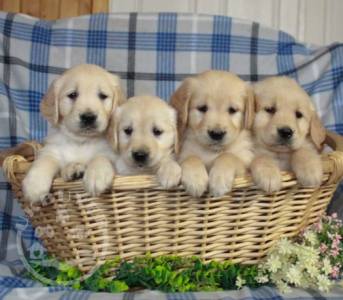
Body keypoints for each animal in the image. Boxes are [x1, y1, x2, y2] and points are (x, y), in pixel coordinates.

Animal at [21, 64, 123, 203]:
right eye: (73, 95)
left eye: (102, 96)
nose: (88, 117)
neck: (81, 140)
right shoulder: (52, 150)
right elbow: (43, 161)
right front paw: (34, 185)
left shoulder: (112, 153)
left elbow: (101, 157)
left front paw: (96, 175)